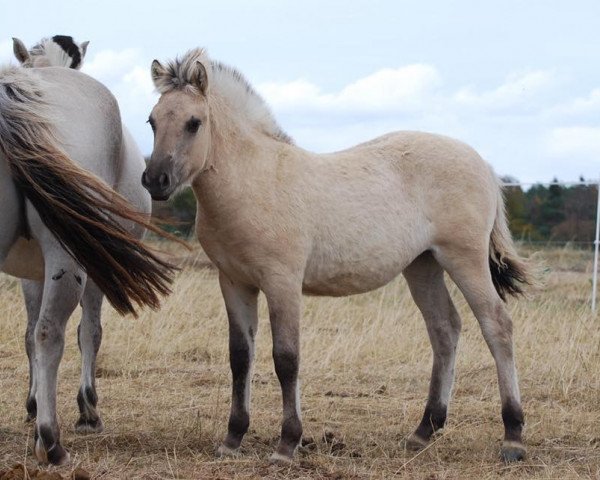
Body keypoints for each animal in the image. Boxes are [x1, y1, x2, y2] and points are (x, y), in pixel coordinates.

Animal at [145, 47, 528, 462]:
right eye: (152, 121)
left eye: (194, 123)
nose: (155, 180)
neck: (254, 180)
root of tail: (483, 164)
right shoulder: (233, 282)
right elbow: (240, 357)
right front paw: (233, 439)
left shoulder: (282, 282)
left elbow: (286, 358)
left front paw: (287, 443)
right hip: (422, 265)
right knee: (445, 328)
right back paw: (423, 430)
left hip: (464, 258)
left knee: (496, 325)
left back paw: (513, 436)